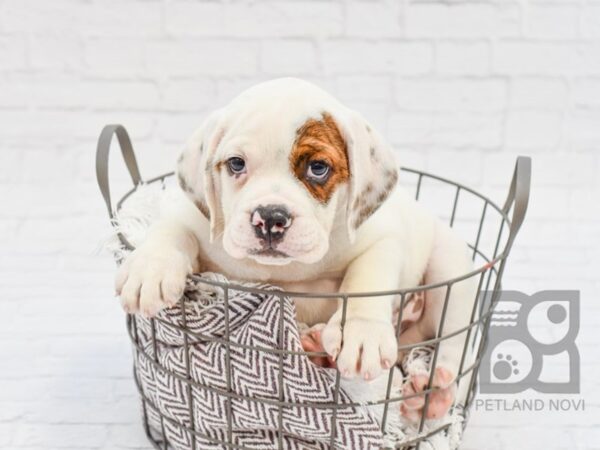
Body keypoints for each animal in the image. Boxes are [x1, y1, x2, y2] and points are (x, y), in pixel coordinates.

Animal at [115, 77, 476, 418]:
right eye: (236, 164)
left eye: (318, 168)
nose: (270, 217)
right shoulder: (194, 218)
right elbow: (172, 230)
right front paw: (149, 270)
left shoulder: (382, 237)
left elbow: (368, 277)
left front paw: (361, 332)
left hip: (452, 271)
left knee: (455, 347)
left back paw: (432, 393)